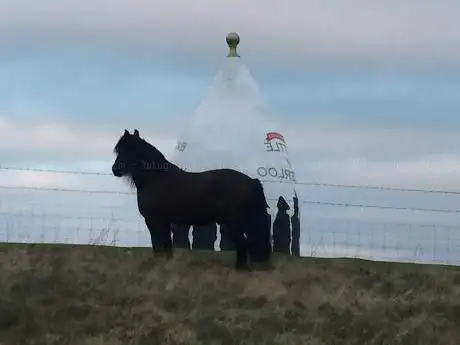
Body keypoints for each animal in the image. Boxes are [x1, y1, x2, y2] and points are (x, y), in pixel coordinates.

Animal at [110, 128, 272, 268]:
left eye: (130, 150)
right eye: (119, 150)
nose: (115, 170)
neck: (156, 179)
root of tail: (252, 181)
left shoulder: (153, 221)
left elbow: (158, 245)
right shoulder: (164, 222)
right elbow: (166, 247)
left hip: (235, 222)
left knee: (243, 243)